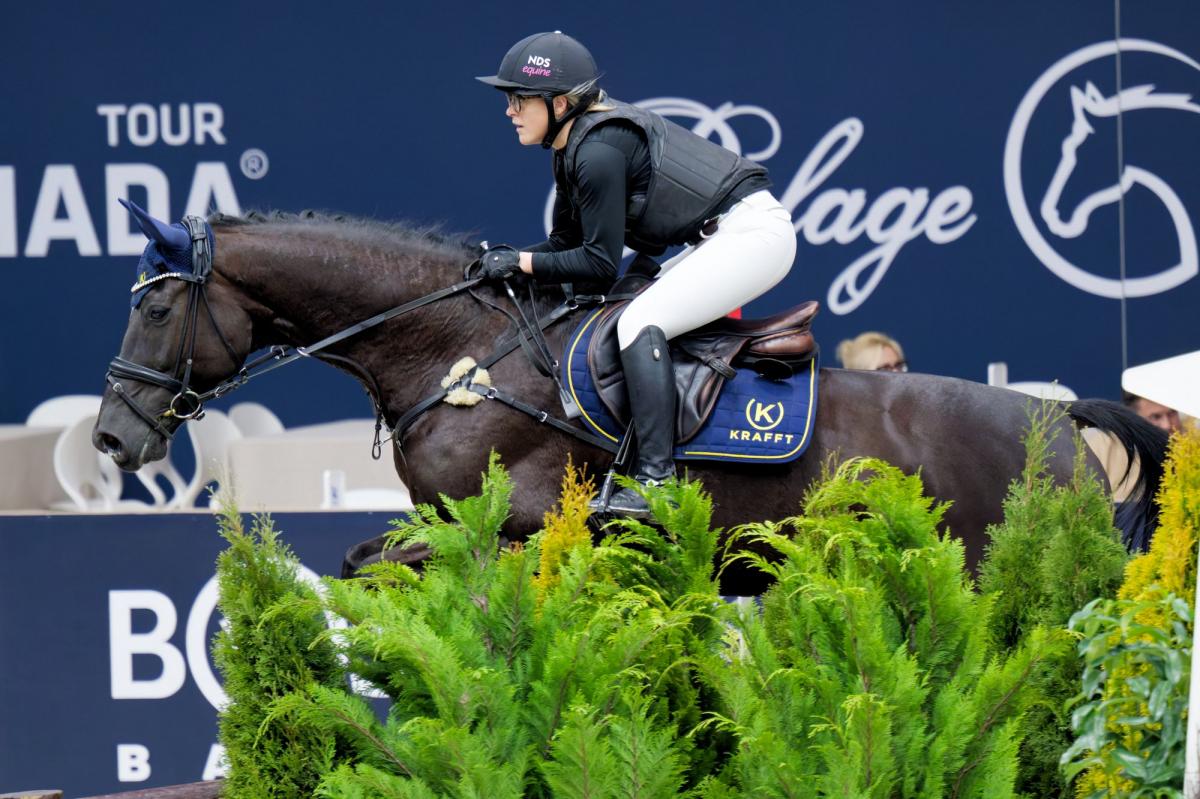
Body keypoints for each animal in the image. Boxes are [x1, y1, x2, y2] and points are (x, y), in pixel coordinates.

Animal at [92, 207, 1167, 594]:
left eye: (155, 309)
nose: (110, 437)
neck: (458, 353)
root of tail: (1057, 423)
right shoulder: (444, 522)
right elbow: (365, 560)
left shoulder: (508, 523)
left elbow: (376, 564)